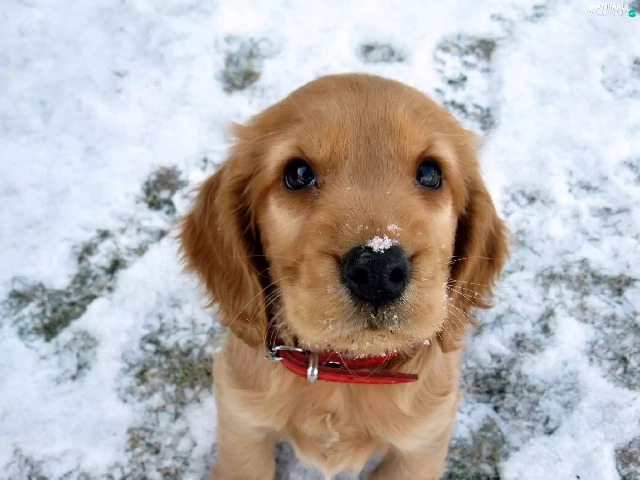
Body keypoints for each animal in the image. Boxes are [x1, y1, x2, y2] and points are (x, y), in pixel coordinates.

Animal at [178, 73, 508, 479]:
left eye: (430, 173)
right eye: (298, 174)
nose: (377, 270)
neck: (344, 371)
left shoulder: (422, 444)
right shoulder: (241, 421)